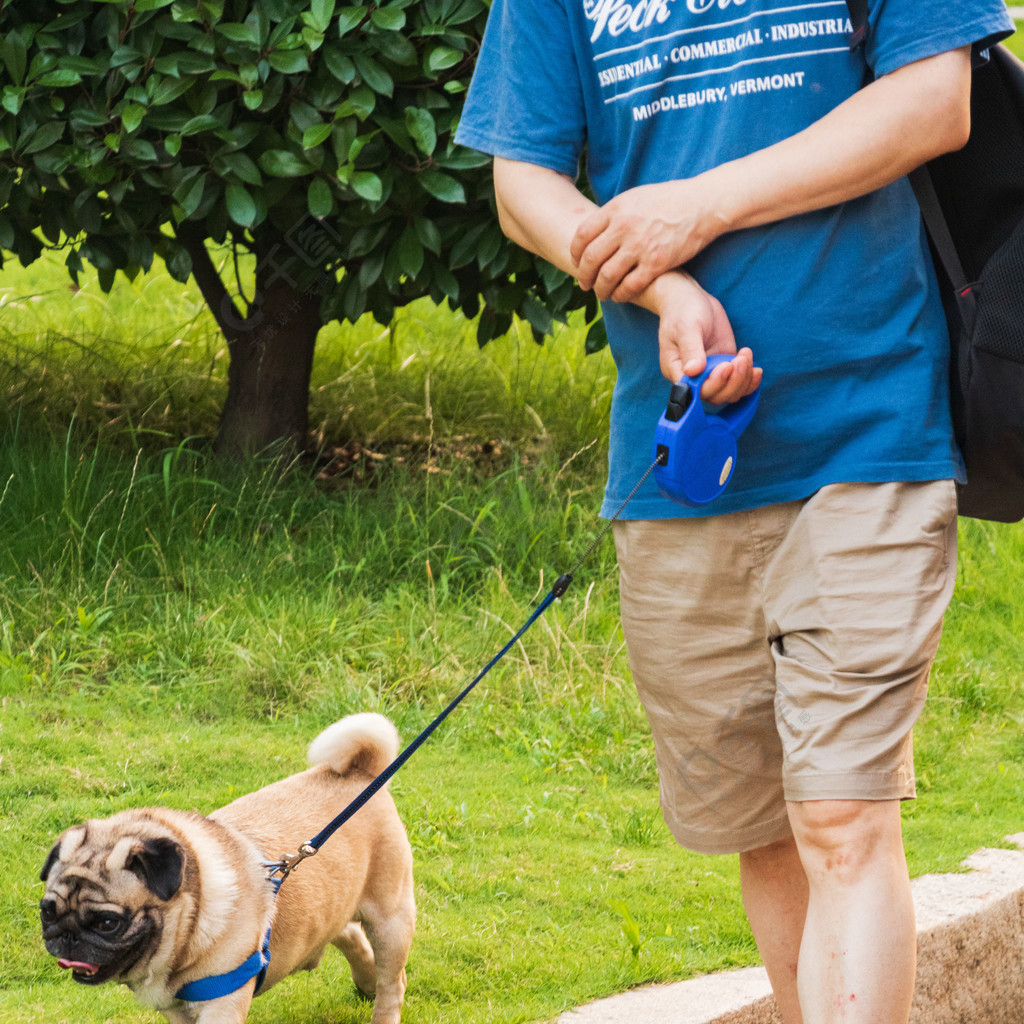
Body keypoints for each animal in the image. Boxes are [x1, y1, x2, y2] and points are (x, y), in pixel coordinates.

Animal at [39, 712, 415, 1024]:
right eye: (47, 912)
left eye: (108, 923)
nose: (66, 935)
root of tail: (362, 770)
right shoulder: (175, 1011)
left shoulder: (222, 1004)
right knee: (348, 933)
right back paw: (365, 982)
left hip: (390, 920)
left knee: (393, 983)